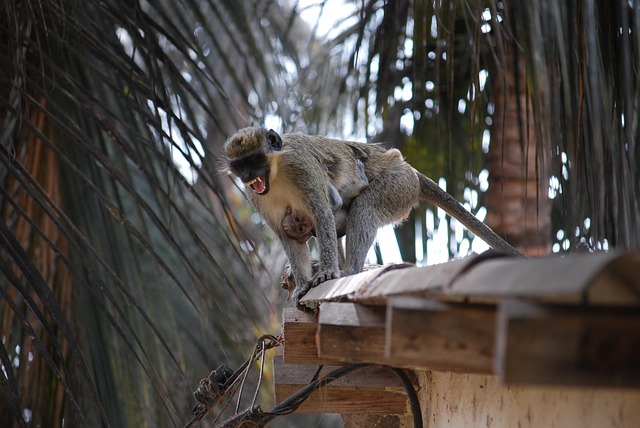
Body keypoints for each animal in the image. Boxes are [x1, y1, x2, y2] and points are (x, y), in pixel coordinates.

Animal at [224, 127, 520, 304]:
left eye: (253, 161)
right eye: (240, 166)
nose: (248, 176)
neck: (276, 171)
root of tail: (407, 168)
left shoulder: (301, 166)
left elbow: (322, 212)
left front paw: (327, 273)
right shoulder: (255, 196)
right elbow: (287, 237)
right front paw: (302, 283)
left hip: (398, 185)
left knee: (364, 206)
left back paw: (349, 269)